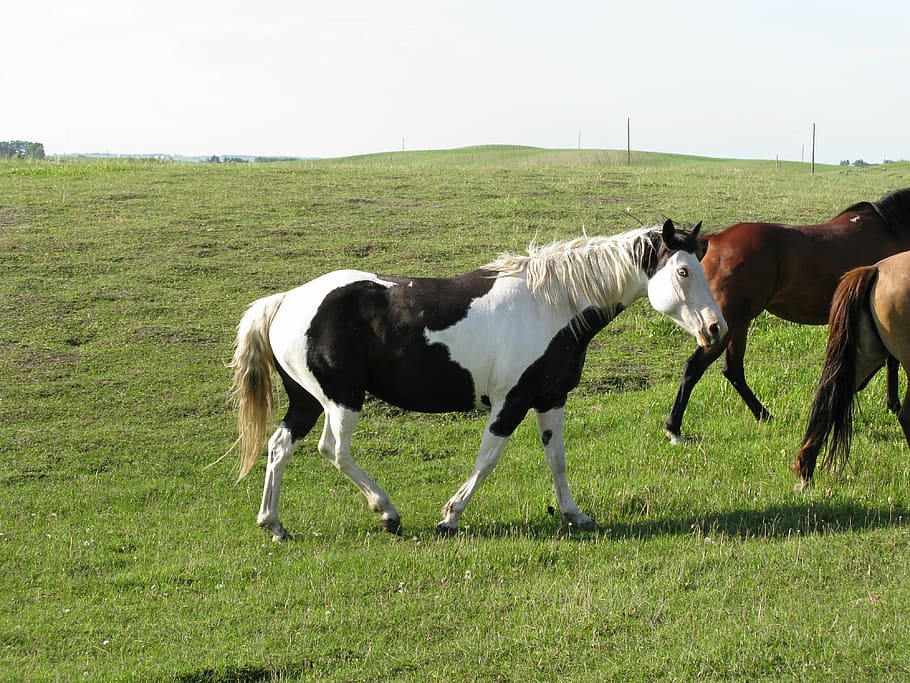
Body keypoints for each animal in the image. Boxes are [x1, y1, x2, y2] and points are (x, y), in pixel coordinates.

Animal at [230, 220, 726, 540]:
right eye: (683, 271)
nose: (715, 329)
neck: (552, 305)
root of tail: (286, 300)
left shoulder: (550, 398)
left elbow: (558, 460)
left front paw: (574, 515)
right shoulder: (511, 402)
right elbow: (487, 460)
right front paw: (450, 517)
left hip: (307, 400)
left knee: (279, 446)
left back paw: (273, 525)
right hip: (341, 399)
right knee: (332, 450)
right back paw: (387, 512)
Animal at [664, 188, 910, 445]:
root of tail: (713, 240)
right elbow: (892, 361)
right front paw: (893, 404)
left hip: (736, 324)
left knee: (733, 370)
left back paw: (764, 415)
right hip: (726, 325)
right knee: (694, 368)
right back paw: (674, 428)